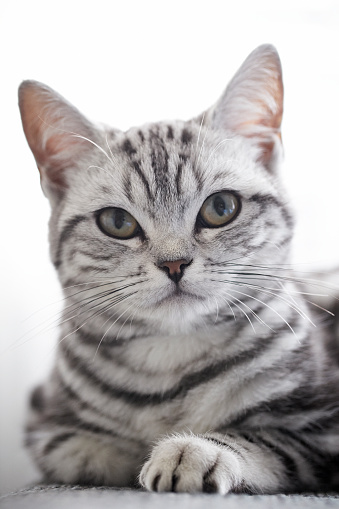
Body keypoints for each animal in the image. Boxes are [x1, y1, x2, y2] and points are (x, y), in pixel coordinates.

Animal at [17, 43, 339, 492]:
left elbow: (264, 439)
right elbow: (69, 448)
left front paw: (191, 449)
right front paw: (121, 453)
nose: (174, 263)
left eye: (220, 207)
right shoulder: (42, 416)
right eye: (117, 222)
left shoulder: (321, 430)